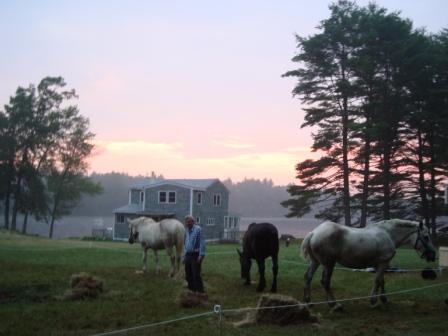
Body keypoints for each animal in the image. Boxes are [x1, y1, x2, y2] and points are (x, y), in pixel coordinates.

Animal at [300, 218, 436, 310]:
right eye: (426, 236)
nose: (433, 255)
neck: (388, 234)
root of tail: (313, 233)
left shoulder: (381, 264)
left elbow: (381, 281)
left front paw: (384, 299)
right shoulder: (383, 263)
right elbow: (377, 281)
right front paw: (373, 301)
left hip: (315, 262)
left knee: (308, 277)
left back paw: (309, 302)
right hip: (329, 263)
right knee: (325, 282)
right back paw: (335, 305)